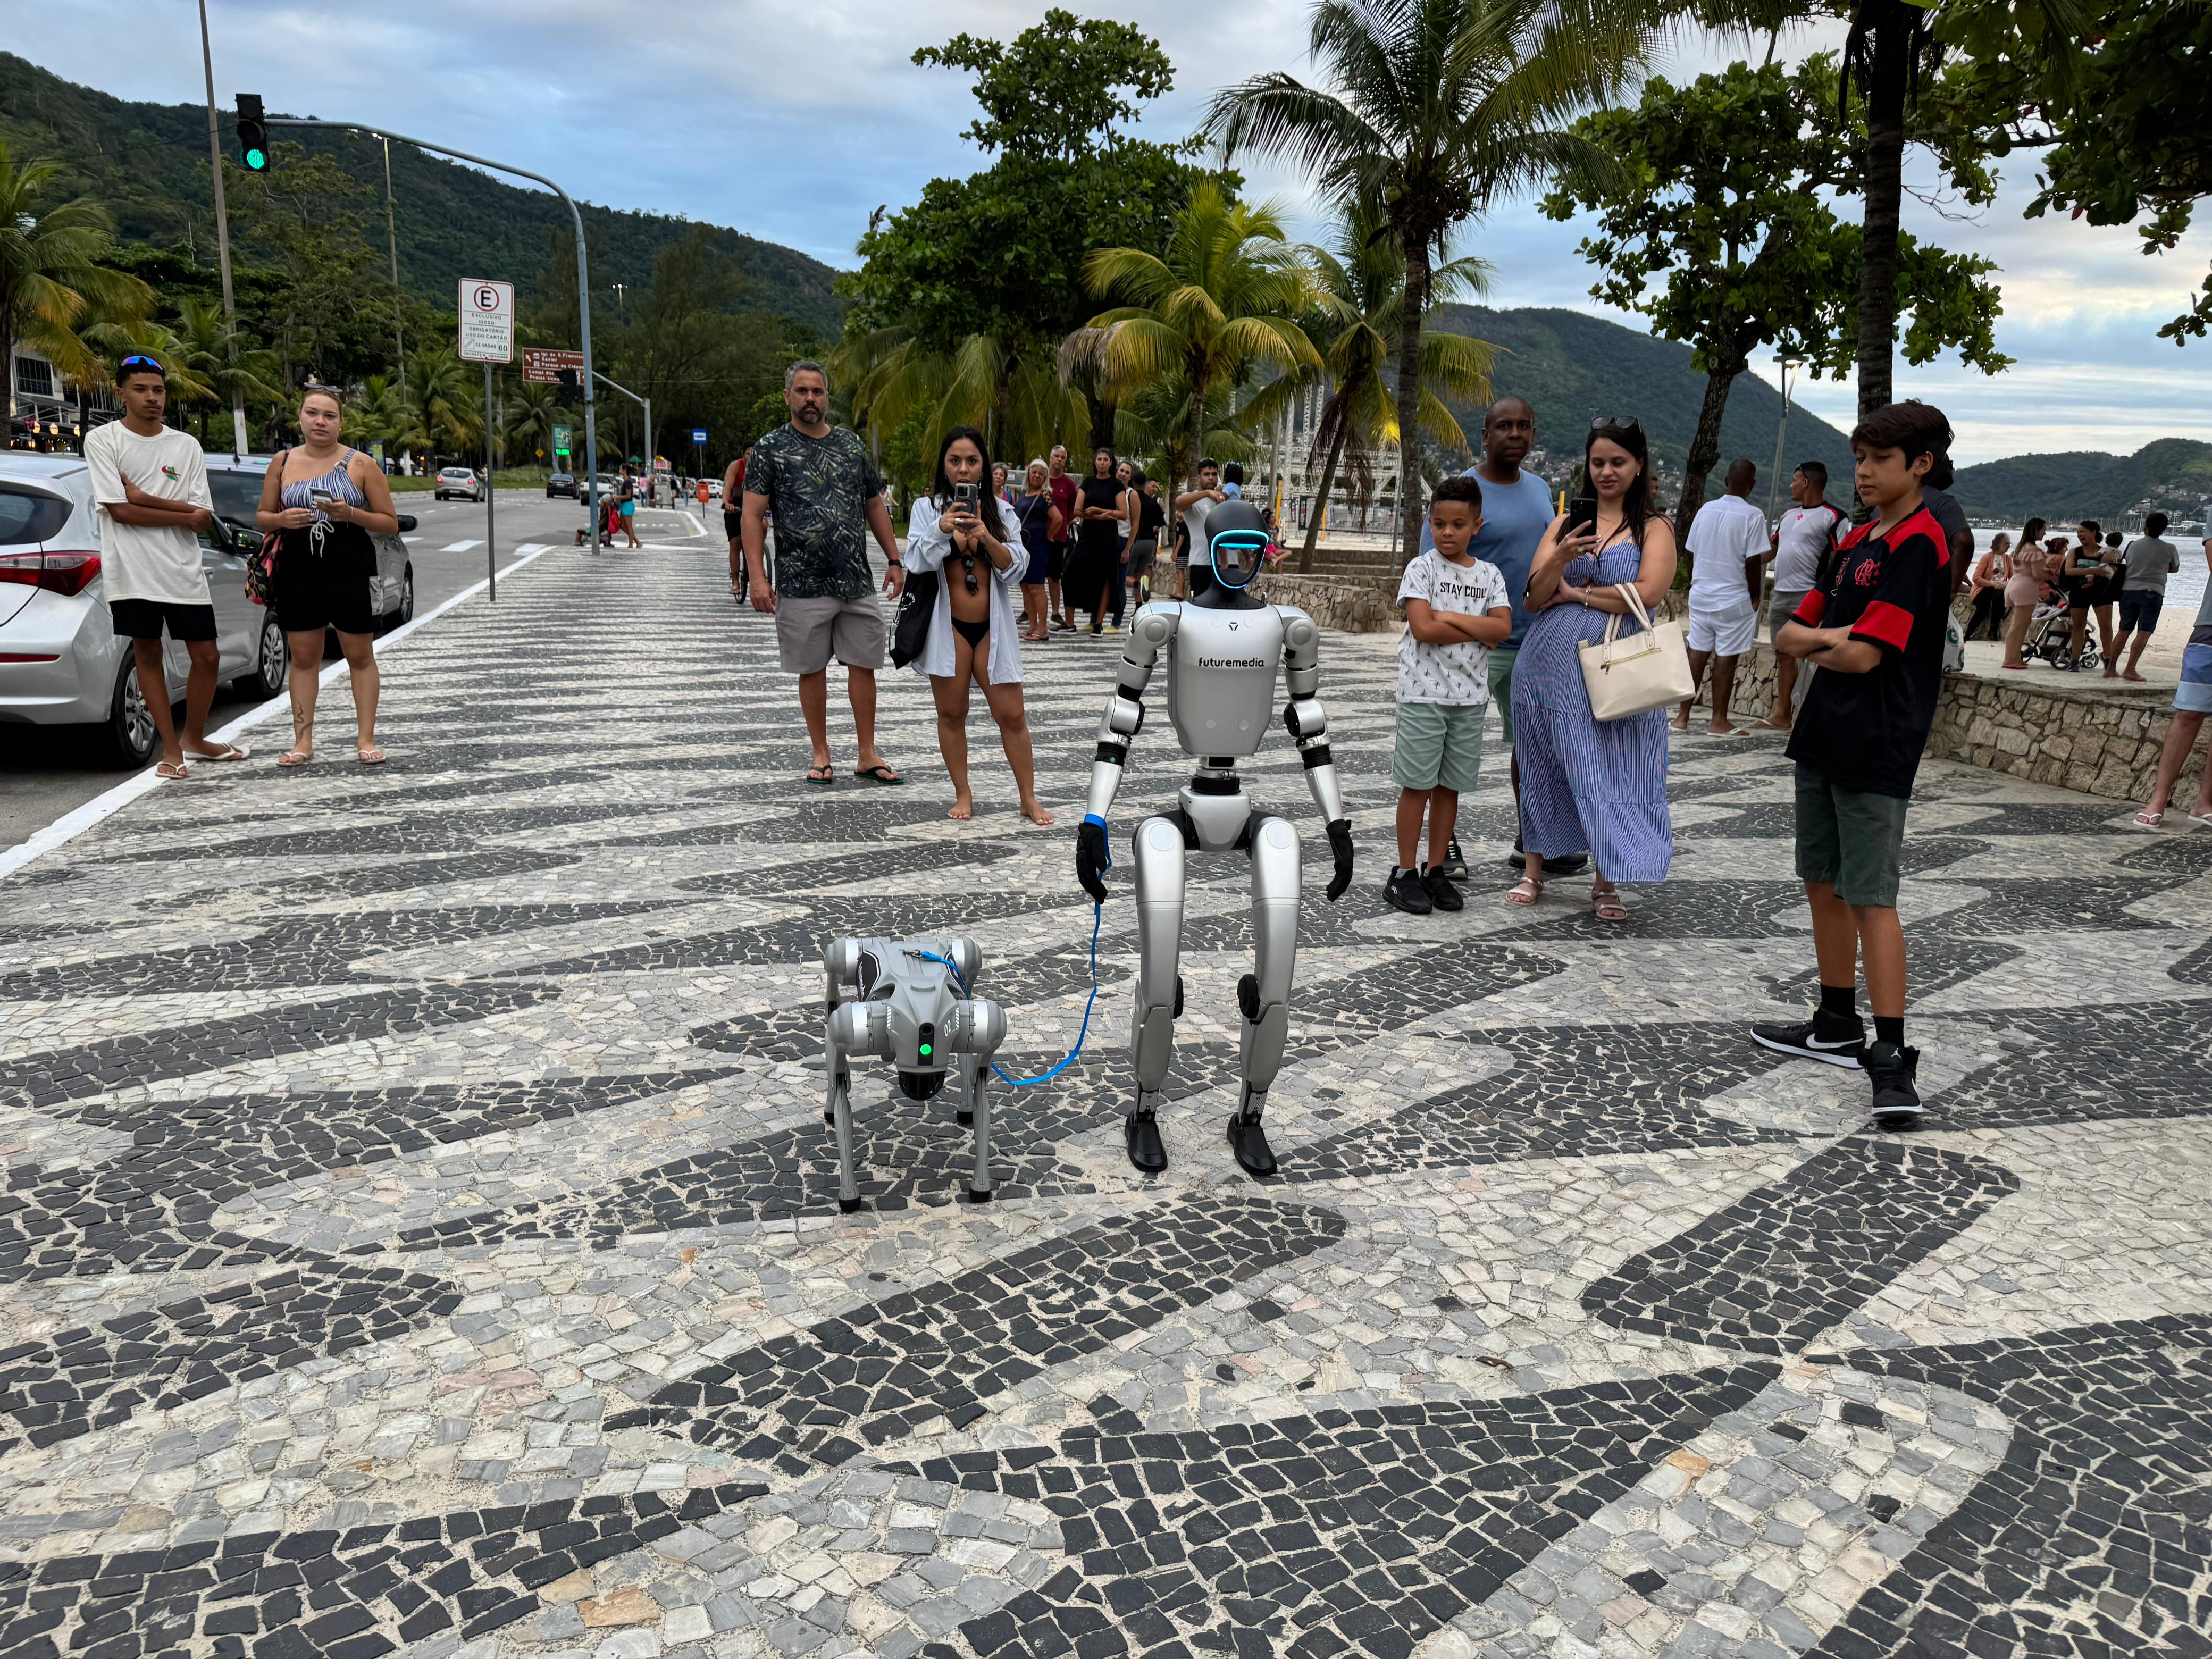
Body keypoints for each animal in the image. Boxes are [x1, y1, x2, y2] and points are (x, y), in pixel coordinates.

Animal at [823, 937, 1013, 1221]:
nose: (920, 1091)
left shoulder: (987, 1025)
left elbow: (980, 1086)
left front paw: (980, 1187)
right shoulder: (850, 1029)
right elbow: (840, 1088)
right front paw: (850, 1196)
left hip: (965, 958)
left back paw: (965, 1108)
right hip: (843, 957)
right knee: (832, 991)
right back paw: (828, 1108)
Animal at [1070, 500, 1345, 1177]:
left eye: (1251, 543)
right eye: (1226, 544)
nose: (1239, 564)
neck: (1226, 606)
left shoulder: (1300, 633)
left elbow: (1310, 723)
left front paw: (1342, 847)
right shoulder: (1151, 626)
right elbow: (1124, 713)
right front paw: (1089, 847)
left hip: (1267, 835)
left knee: (1267, 996)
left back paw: (1248, 1130)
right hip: (1164, 835)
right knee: (1157, 993)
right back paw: (1142, 1127)